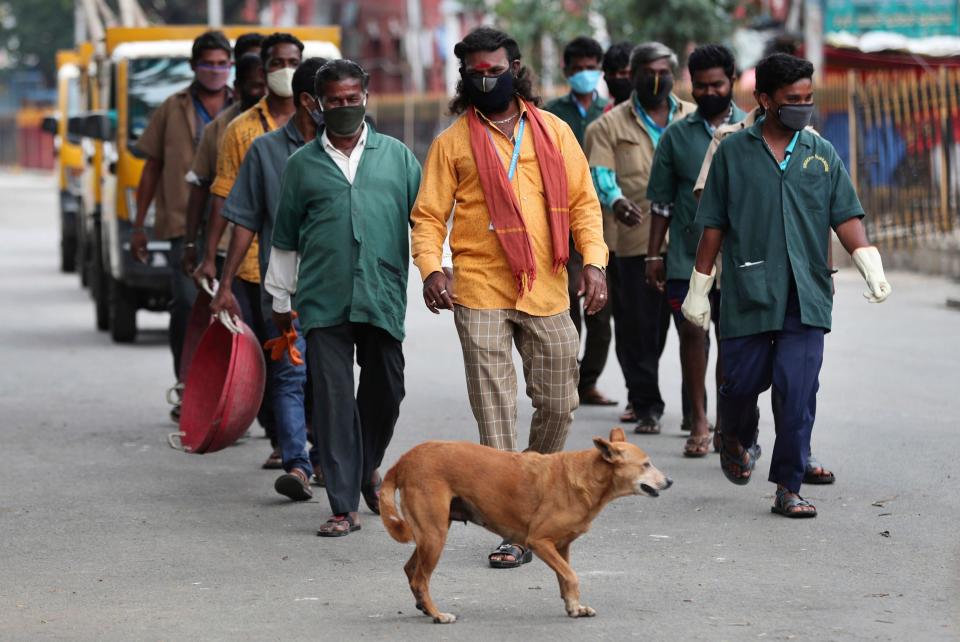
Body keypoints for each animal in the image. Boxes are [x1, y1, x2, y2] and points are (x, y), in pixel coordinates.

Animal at [378, 424, 672, 620]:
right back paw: (437, 614)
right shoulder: (539, 541)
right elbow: (572, 575)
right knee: (420, 579)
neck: (588, 476)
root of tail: (405, 460)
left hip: (431, 533)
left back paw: (424, 608)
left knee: (411, 570)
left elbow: (565, 578)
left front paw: (574, 607)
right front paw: (573, 605)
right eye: (646, 464)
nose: (669, 481)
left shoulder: (561, 547)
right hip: (434, 535)